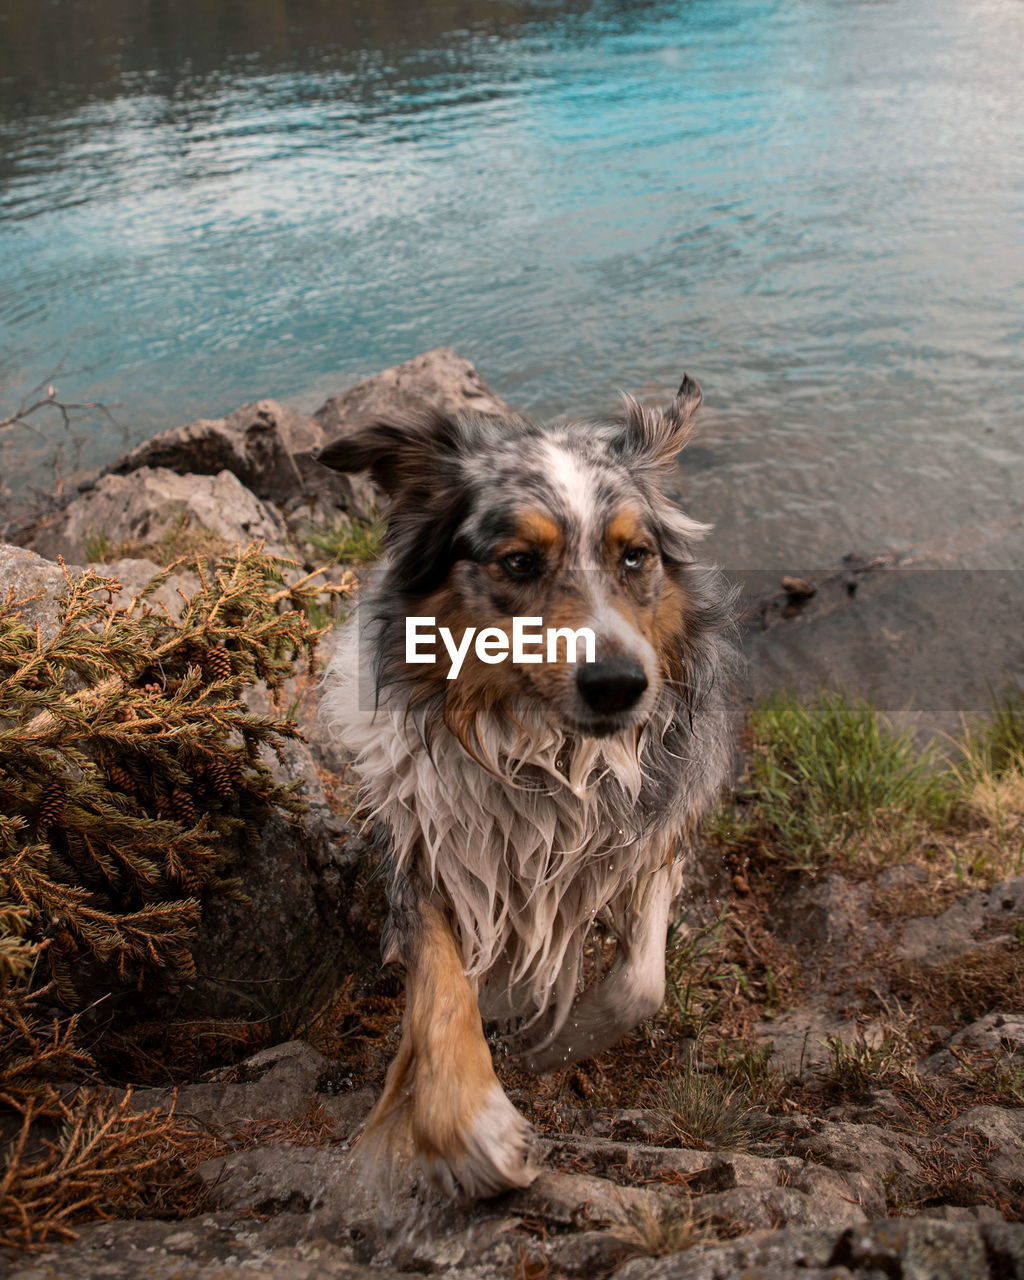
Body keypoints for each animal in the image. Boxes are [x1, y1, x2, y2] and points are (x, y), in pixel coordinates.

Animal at [316, 373, 732, 1192]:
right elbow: (443, 992)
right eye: (517, 563)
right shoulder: (425, 845)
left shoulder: (648, 829)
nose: (618, 686)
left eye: (635, 556)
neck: (542, 755)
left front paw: (554, 1048)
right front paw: (473, 1121)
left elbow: (641, 984)